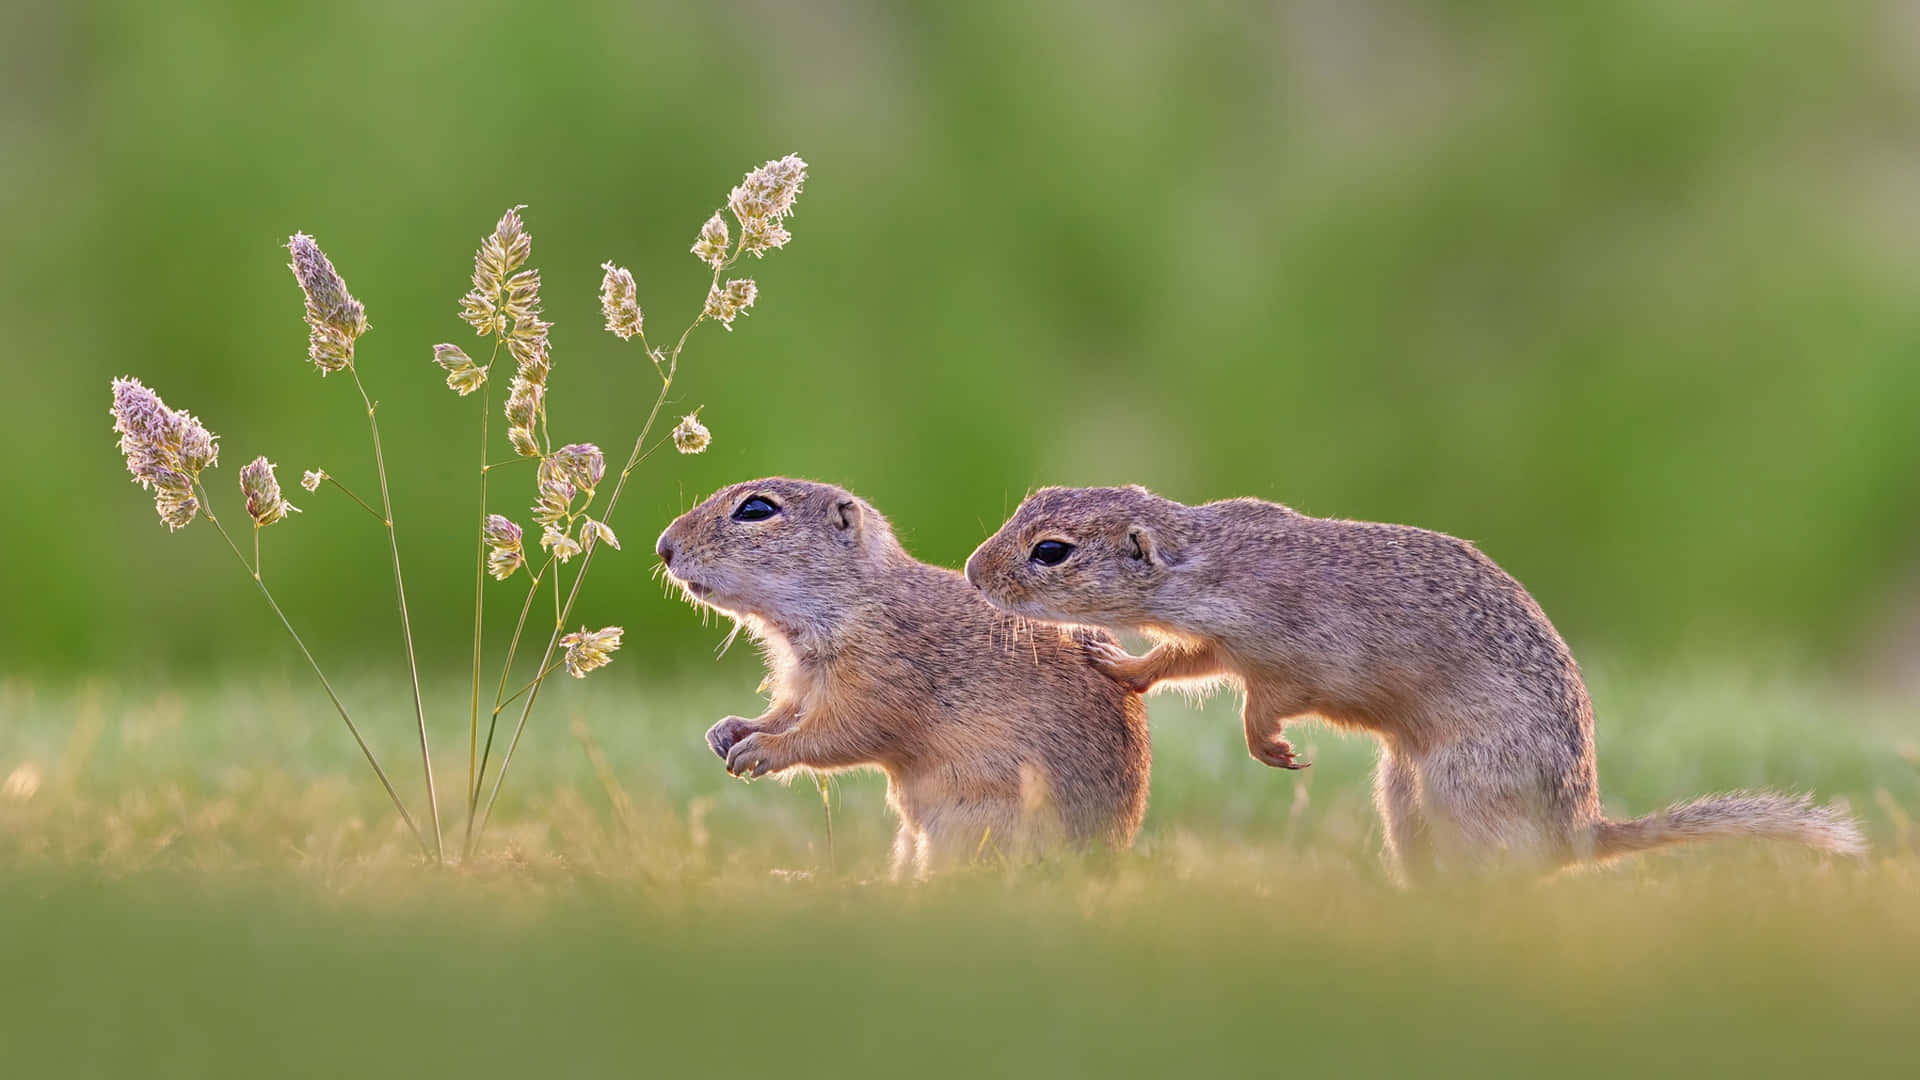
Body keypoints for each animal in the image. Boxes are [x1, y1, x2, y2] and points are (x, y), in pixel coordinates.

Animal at [652, 474, 1144, 868]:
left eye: (756, 509)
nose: (663, 547)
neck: (855, 600)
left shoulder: (878, 673)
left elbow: (840, 732)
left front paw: (761, 751)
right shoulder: (805, 683)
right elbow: (786, 712)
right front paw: (728, 730)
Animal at [967, 480, 1866, 876]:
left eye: (1051, 550)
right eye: (1031, 500)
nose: (974, 572)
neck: (1211, 560)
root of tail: (1576, 836)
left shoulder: (1287, 653)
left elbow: (1265, 702)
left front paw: (1271, 748)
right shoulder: (1219, 644)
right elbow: (1179, 663)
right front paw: (1115, 662)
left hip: (1457, 790)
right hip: (1402, 798)